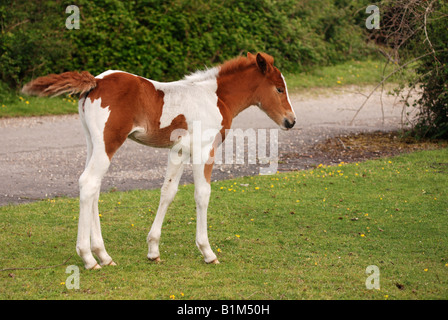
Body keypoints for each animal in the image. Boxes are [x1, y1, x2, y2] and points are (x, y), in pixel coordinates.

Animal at [23, 52, 298, 270]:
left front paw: (153, 250)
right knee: (89, 183)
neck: (216, 98)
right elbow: (202, 194)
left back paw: (103, 255)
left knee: (92, 189)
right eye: (279, 89)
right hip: (108, 143)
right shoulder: (204, 150)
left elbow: (168, 191)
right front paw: (207, 252)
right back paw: (89, 258)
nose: (291, 121)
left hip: (93, 143)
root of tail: (96, 81)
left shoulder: (178, 151)